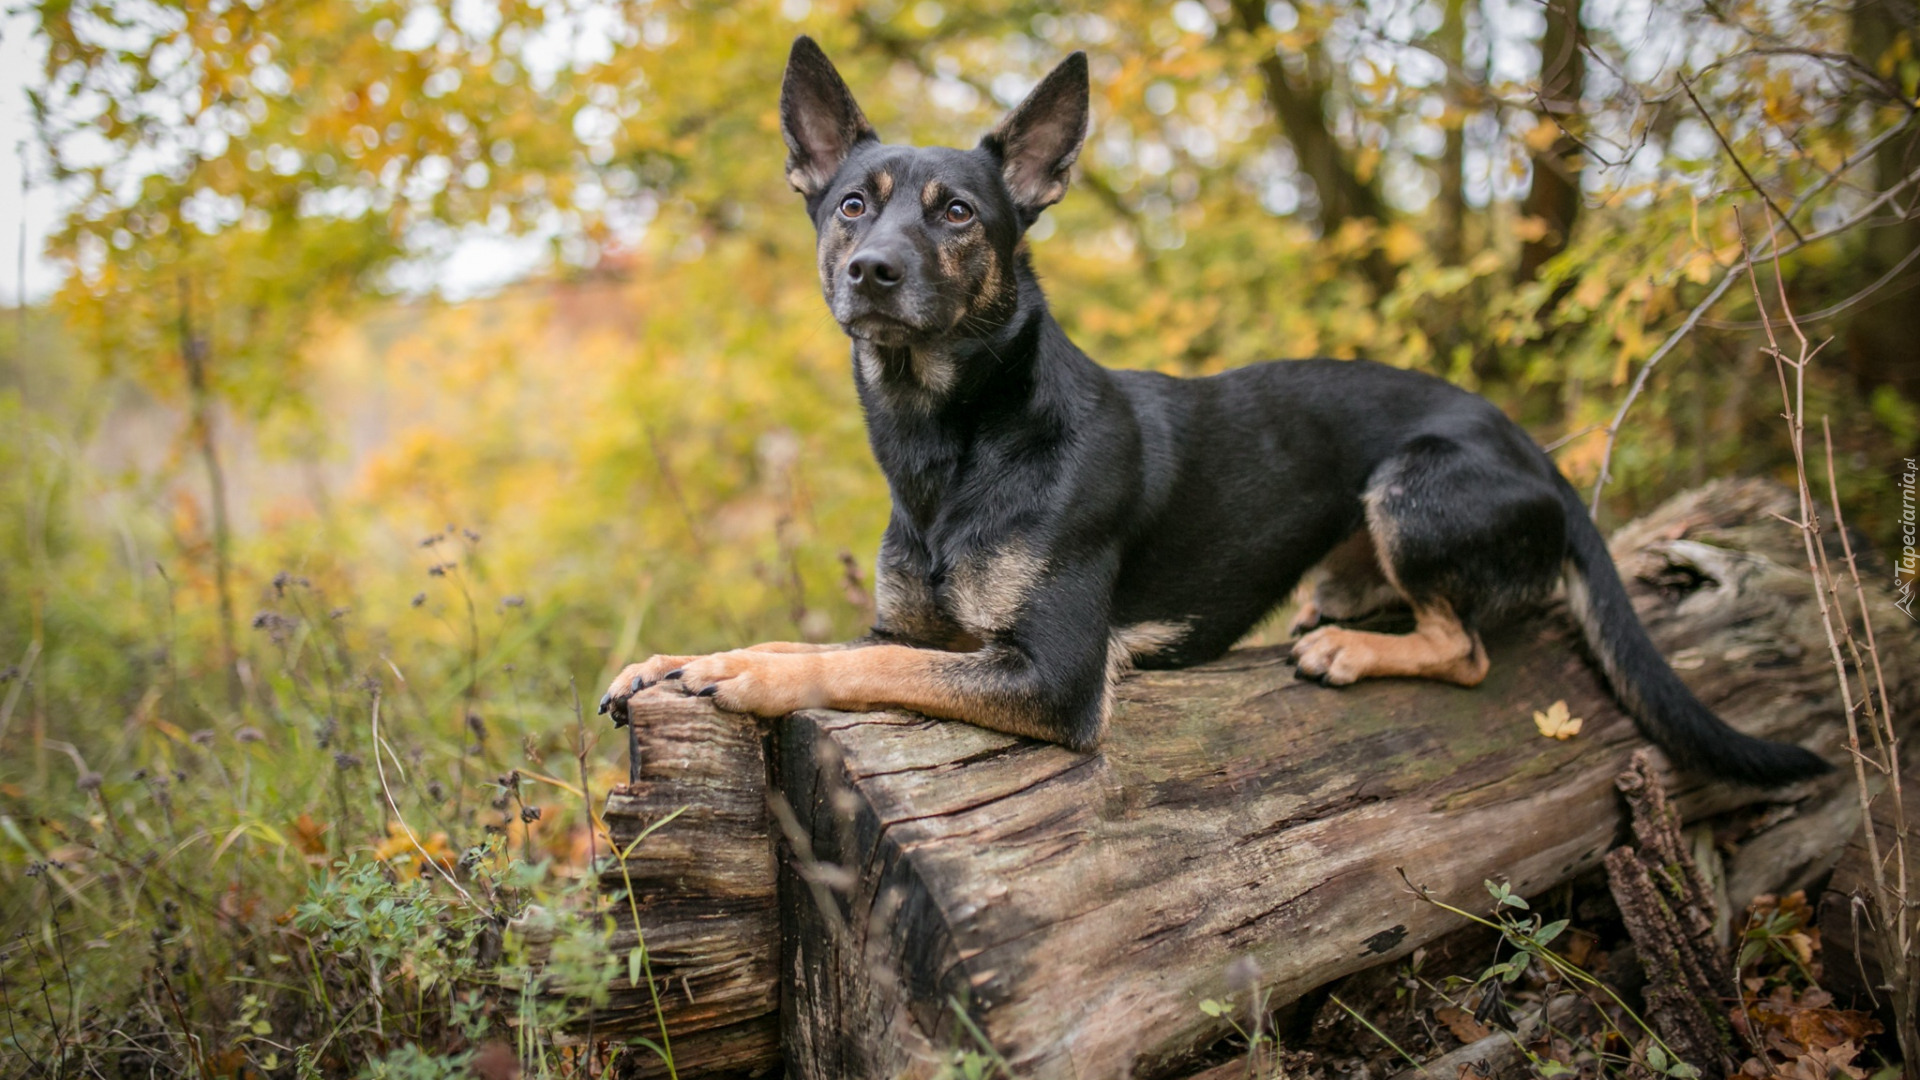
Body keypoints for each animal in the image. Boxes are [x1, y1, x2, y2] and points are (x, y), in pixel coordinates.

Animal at [602, 39, 1827, 780]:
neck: (954, 442)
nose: (873, 272)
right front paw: (683, 660)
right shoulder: (911, 624)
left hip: (1415, 482)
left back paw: (1352, 654)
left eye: (956, 215)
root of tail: (1547, 465)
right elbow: (843, 641)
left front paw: (749, 675)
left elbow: (850, 667)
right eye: (853, 205)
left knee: (1468, 649)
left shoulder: (1053, 674)